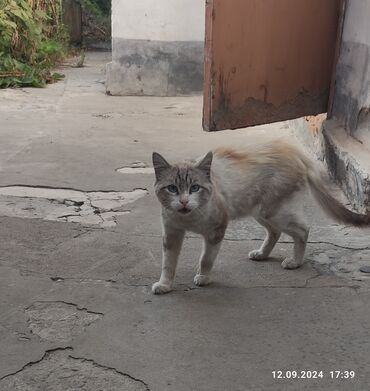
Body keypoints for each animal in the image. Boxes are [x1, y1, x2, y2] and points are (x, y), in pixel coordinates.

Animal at [151, 140, 370, 294]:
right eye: (172, 189)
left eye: (195, 188)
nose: (184, 202)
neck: (188, 219)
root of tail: (293, 150)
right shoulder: (171, 234)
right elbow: (167, 264)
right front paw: (165, 285)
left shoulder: (216, 231)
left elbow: (206, 259)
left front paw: (203, 277)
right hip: (261, 212)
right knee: (275, 232)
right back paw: (262, 254)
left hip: (273, 212)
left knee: (302, 230)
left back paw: (295, 261)